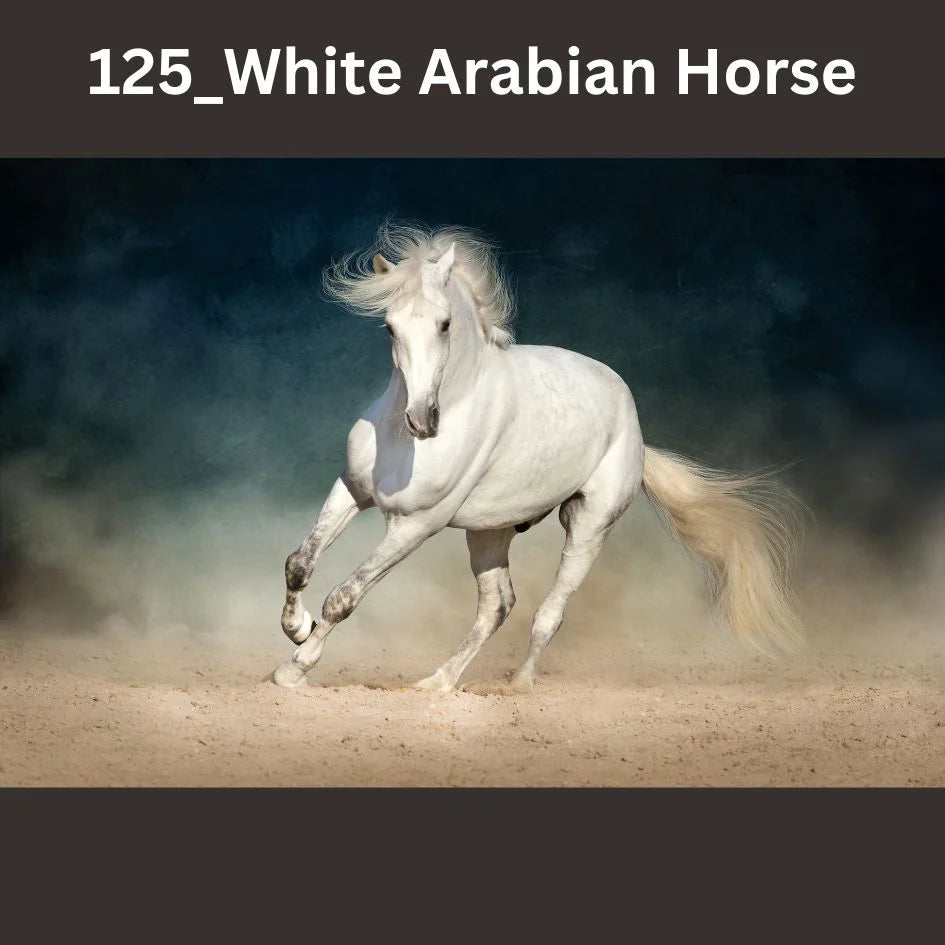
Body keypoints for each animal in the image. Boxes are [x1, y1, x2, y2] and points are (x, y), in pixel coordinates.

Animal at [272, 224, 802, 691]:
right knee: (497, 606)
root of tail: (635, 431)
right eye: (389, 327)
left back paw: (518, 685)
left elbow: (345, 596)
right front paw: (297, 629)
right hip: (489, 531)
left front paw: (293, 669)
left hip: (588, 525)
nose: (422, 420)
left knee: (549, 612)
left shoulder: (415, 525)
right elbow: (300, 562)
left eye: (445, 324)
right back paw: (436, 683)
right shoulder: (352, 490)